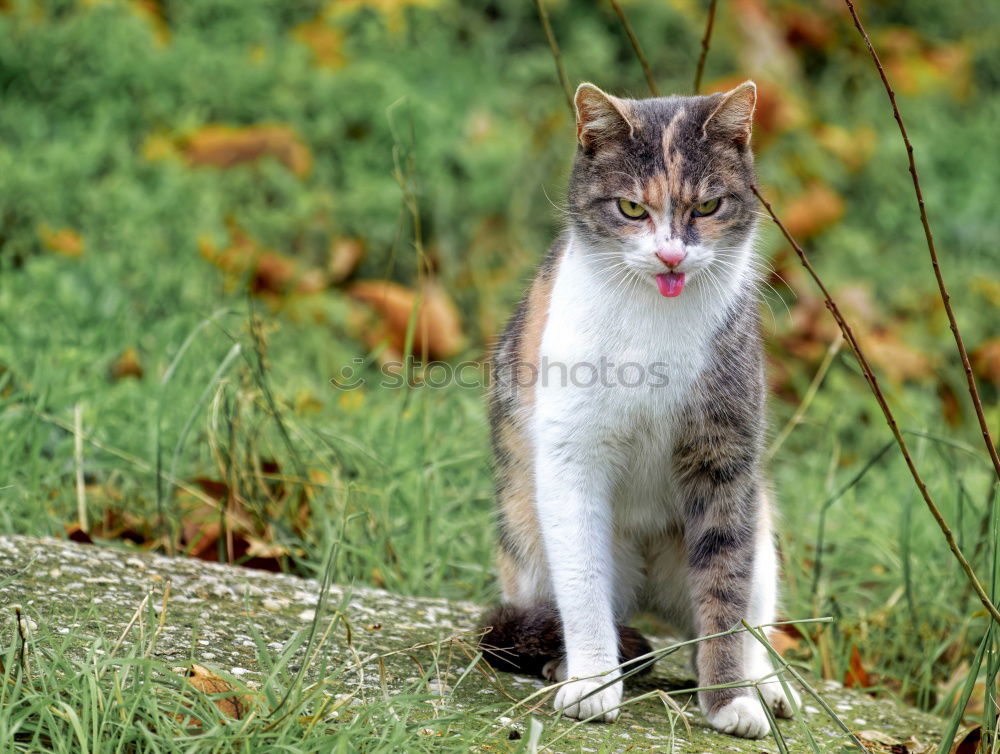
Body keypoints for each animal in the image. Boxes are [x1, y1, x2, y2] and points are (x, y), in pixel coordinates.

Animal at [480, 81, 800, 736]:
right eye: (631, 209)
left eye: (708, 207)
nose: (672, 256)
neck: (656, 322)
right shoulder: (571, 458)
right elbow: (583, 584)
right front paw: (592, 683)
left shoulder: (726, 459)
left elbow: (725, 591)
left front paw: (730, 699)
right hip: (527, 535)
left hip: (762, 530)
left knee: (749, 612)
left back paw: (766, 685)